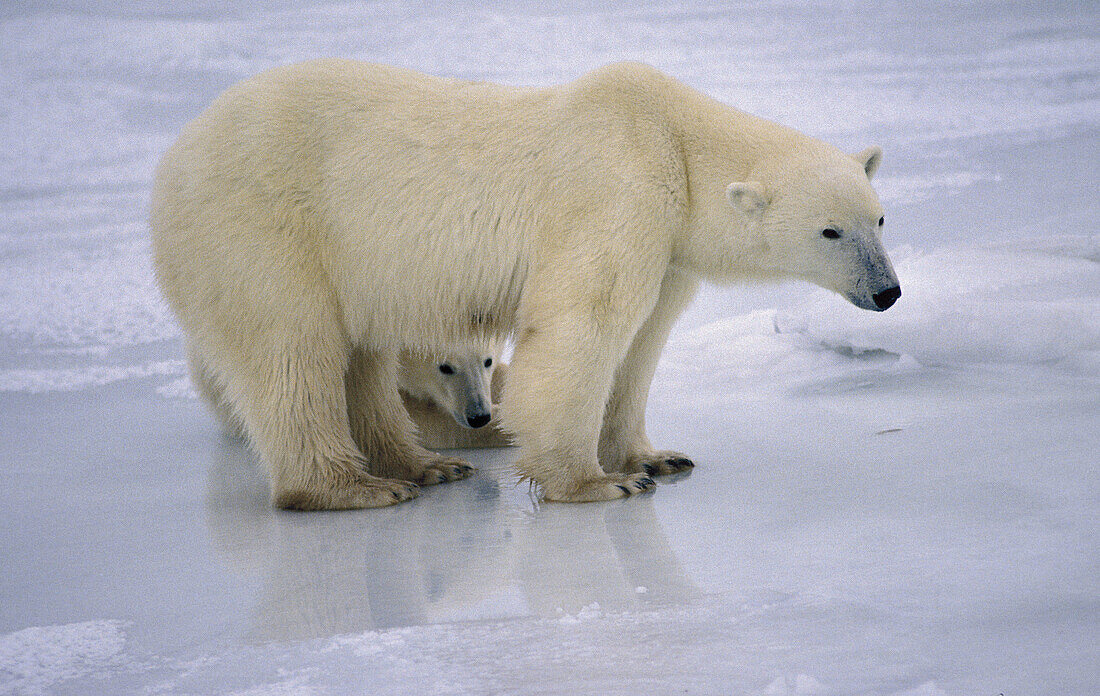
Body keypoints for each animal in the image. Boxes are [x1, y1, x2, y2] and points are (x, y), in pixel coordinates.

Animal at [150, 59, 897, 507]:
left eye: (880, 218)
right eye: (831, 232)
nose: (888, 292)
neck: (674, 142)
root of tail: (174, 158)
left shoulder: (668, 247)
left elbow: (642, 342)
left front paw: (655, 458)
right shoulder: (613, 192)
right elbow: (583, 326)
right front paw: (595, 482)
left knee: (360, 355)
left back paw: (422, 466)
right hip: (264, 228)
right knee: (291, 351)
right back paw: (350, 488)